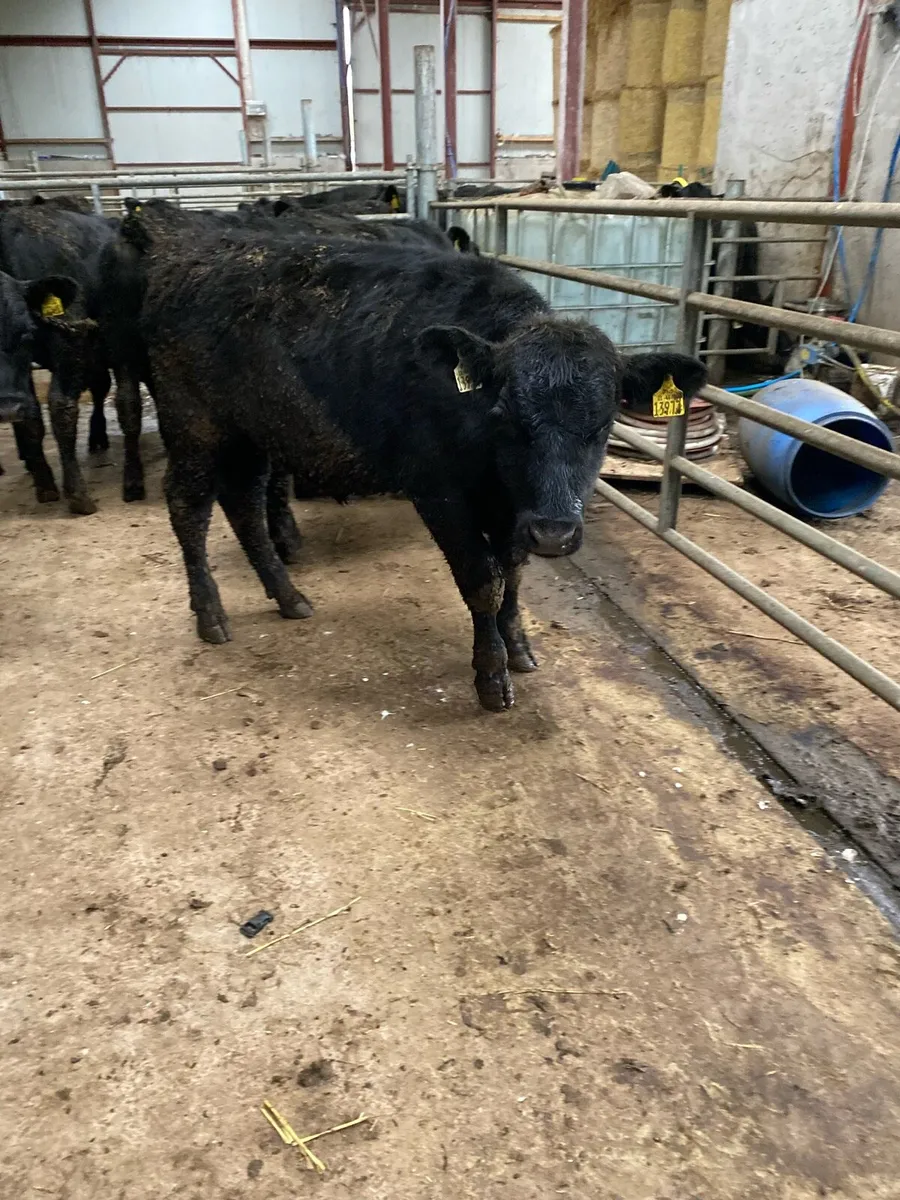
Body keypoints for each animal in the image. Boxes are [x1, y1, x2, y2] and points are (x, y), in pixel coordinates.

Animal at [125, 217, 706, 710]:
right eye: (506, 417)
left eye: (603, 424)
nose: (556, 533)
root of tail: (187, 252)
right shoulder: (438, 491)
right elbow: (484, 580)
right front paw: (491, 677)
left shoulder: (512, 509)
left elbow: (514, 574)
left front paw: (518, 646)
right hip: (193, 423)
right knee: (188, 505)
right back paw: (211, 615)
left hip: (251, 433)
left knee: (244, 503)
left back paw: (289, 597)